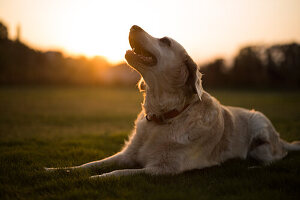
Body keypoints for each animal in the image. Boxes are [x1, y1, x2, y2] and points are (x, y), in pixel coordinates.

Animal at [44, 25, 300, 178]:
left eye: (165, 41)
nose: (133, 26)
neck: (164, 115)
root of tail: (281, 140)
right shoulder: (126, 155)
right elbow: (92, 163)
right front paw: (57, 169)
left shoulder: (161, 169)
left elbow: (116, 173)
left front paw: (91, 179)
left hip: (260, 127)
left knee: (276, 158)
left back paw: (251, 165)